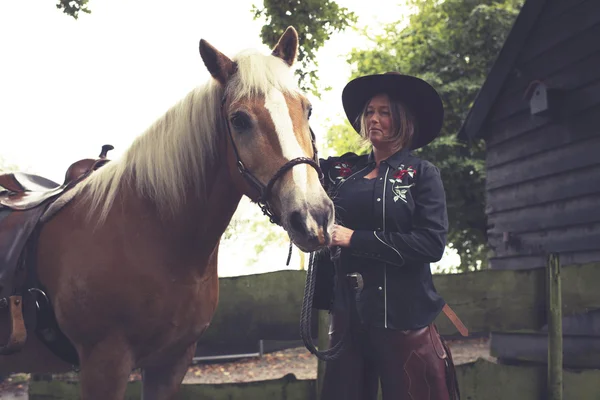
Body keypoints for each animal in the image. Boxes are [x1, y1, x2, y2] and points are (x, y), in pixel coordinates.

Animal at [0, 26, 332, 398]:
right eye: (239, 120)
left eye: (307, 109)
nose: (313, 216)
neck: (153, 234)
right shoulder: (104, 365)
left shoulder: (171, 362)